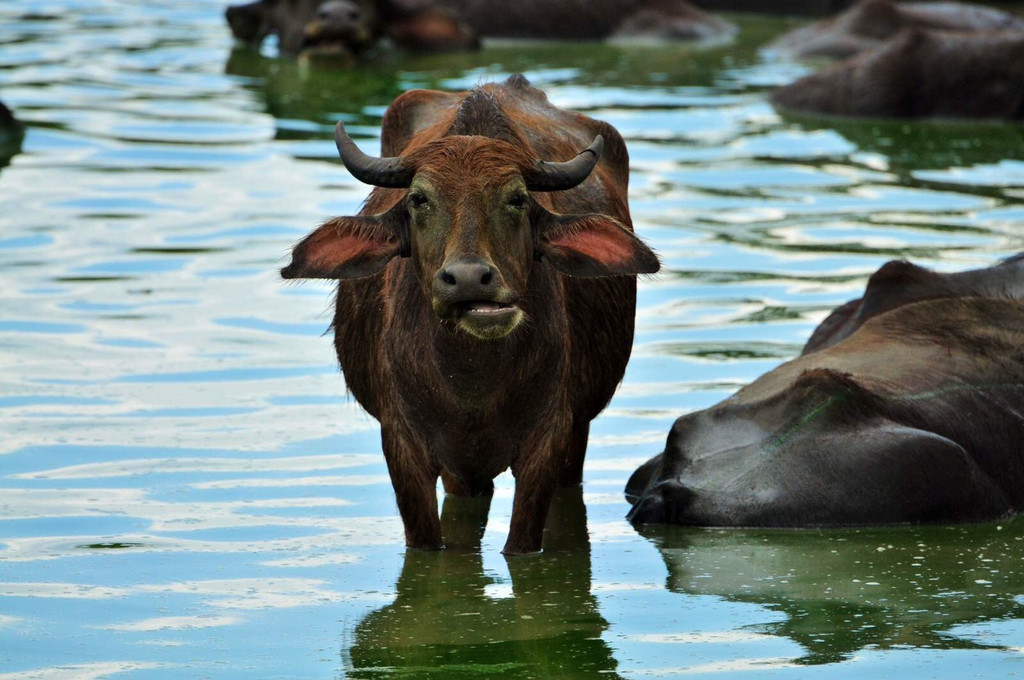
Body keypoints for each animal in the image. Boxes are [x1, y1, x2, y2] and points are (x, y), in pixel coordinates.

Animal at [284, 74, 659, 553]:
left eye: (517, 199)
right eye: (419, 199)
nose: (467, 279)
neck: (472, 385)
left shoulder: (549, 442)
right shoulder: (404, 448)